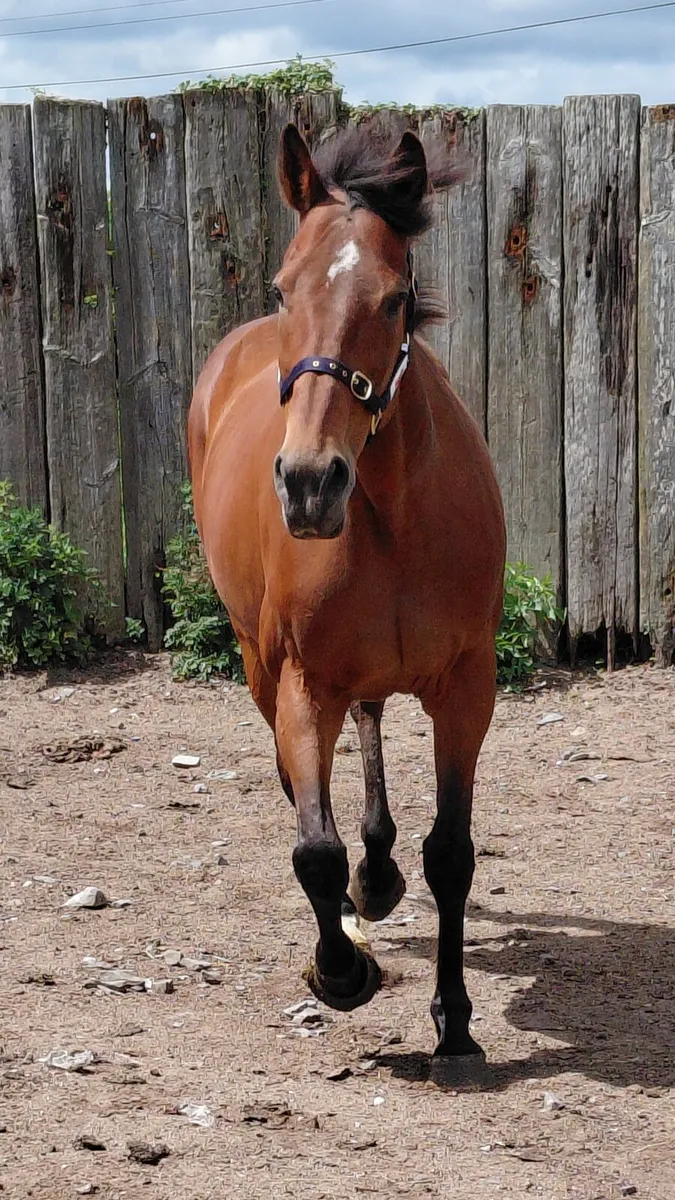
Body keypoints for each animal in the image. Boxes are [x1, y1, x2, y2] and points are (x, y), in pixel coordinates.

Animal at [188, 122, 506, 1082]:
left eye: (396, 299)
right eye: (283, 287)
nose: (308, 483)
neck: (392, 512)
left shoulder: (465, 688)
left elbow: (450, 854)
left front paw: (454, 1021)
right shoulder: (302, 683)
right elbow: (314, 851)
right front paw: (339, 970)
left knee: (369, 732)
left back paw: (381, 871)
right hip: (258, 663)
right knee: (304, 779)